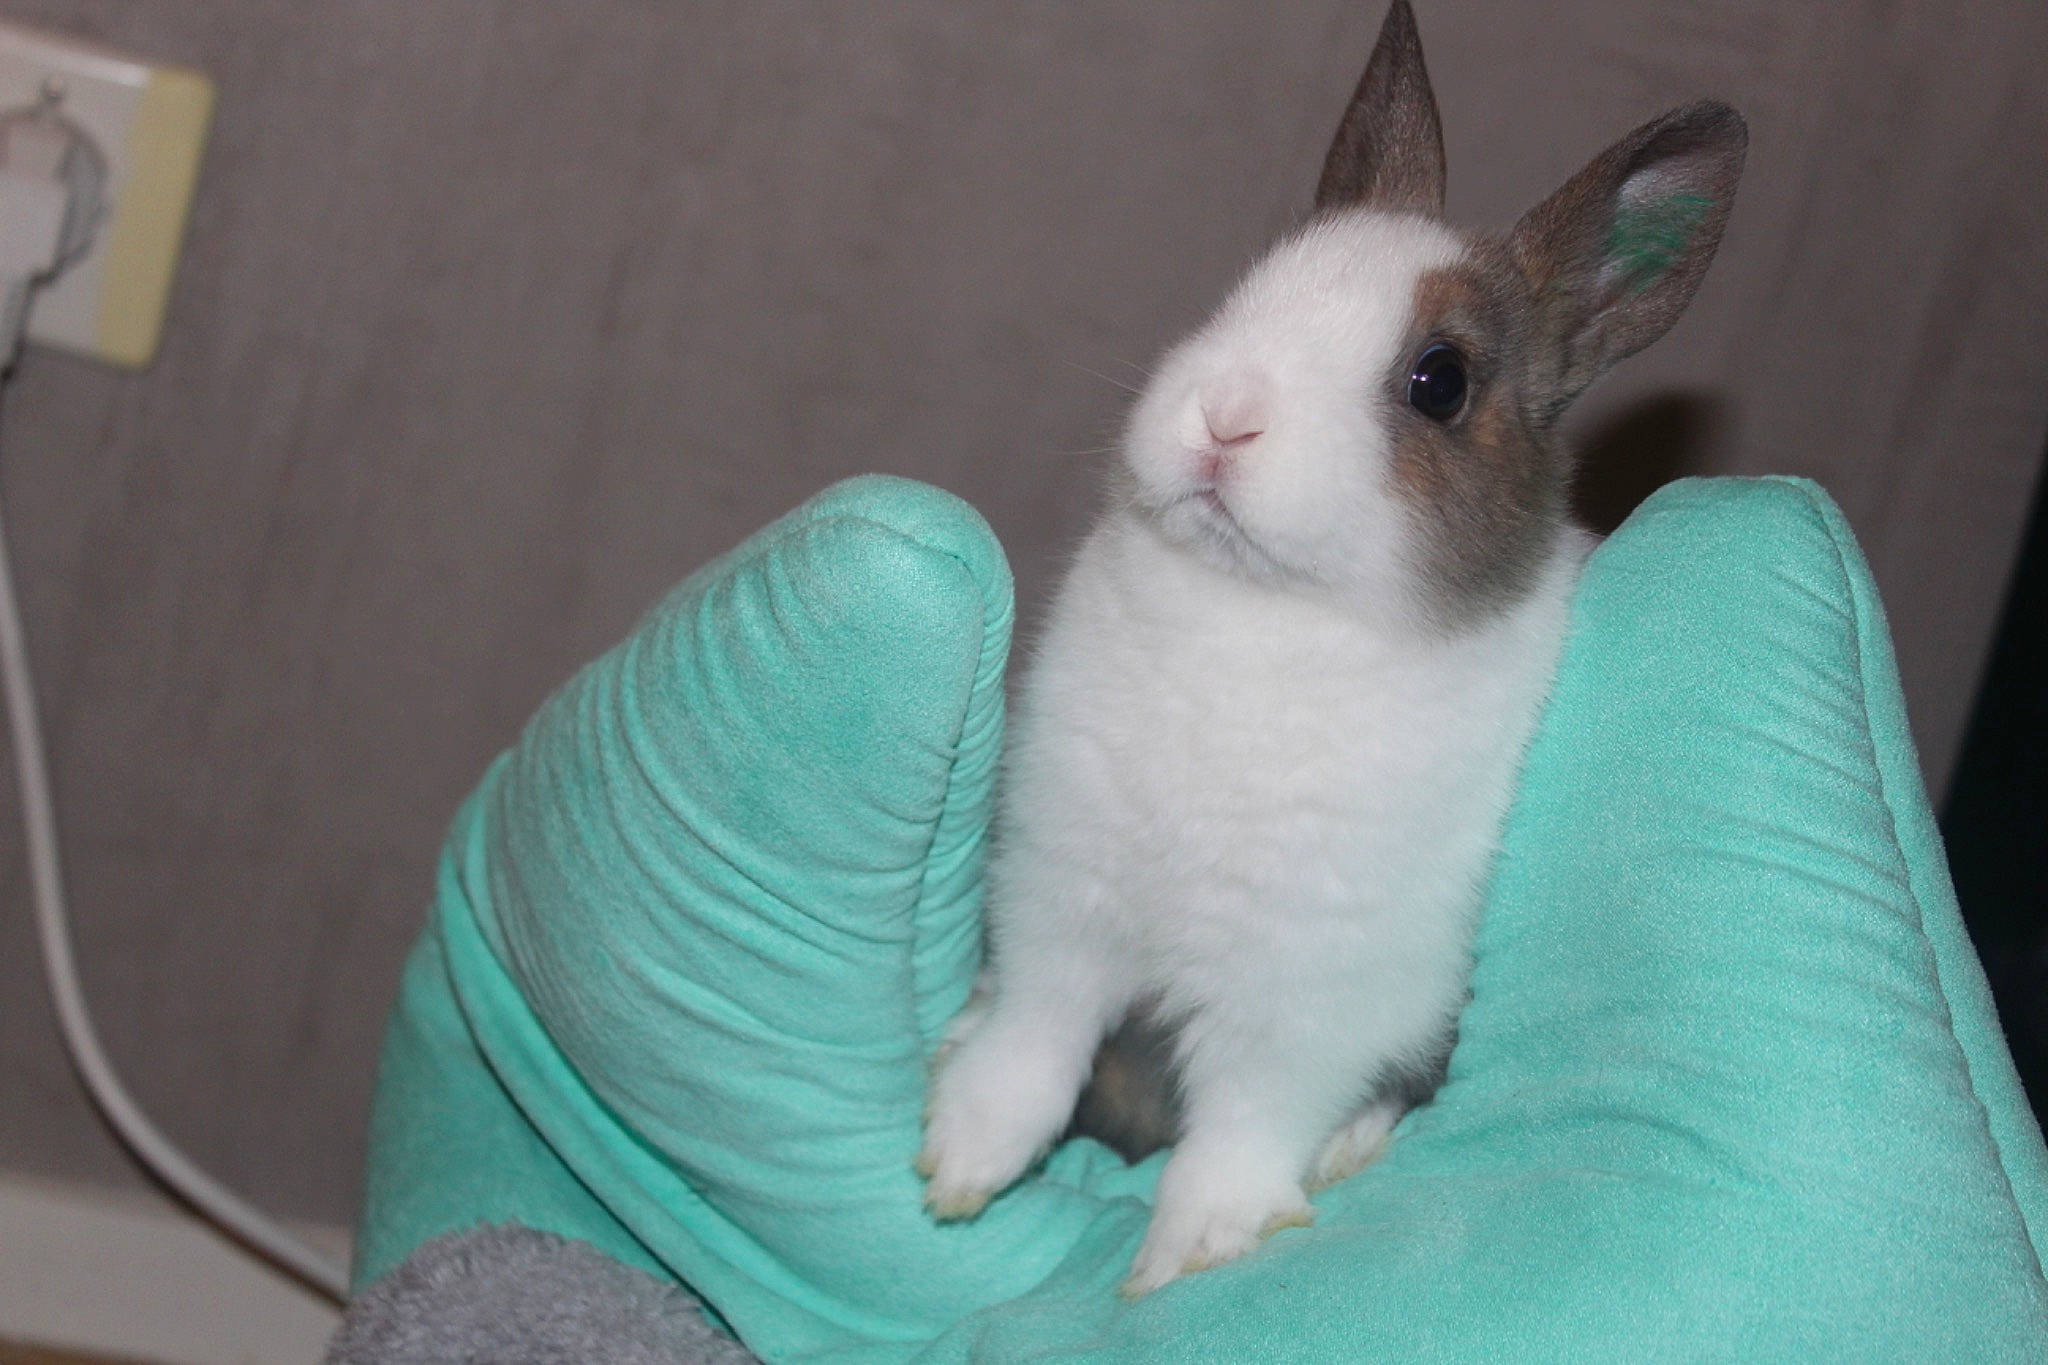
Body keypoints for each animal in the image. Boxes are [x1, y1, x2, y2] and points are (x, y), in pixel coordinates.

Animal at [918, 0, 1745, 1298]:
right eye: (1245, 288)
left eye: (1437, 382)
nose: (1224, 419)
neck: (1263, 614)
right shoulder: (1063, 893)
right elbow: (1036, 1036)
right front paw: (960, 1155)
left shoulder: (1312, 998)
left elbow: (1246, 1125)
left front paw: (1187, 1256)